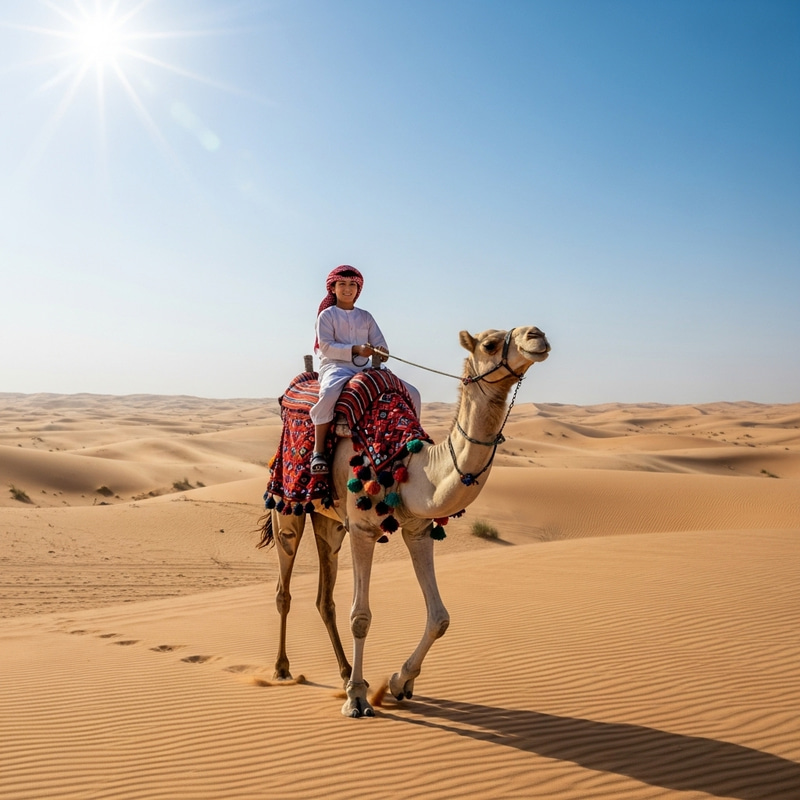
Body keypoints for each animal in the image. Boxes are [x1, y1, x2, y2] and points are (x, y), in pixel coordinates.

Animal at [258, 325, 550, 717]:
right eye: (490, 343)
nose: (537, 335)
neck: (406, 463)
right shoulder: (362, 530)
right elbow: (361, 617)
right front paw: (357, 699)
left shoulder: (417, 528)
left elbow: (439, 617)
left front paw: (398, 683)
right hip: (286, 505)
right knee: (284, 589)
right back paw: (282, 669)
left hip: (329, 521)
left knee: (324, 599)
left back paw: (345, 672)